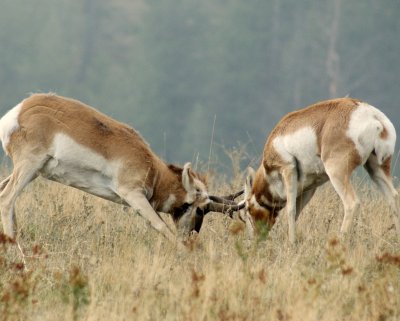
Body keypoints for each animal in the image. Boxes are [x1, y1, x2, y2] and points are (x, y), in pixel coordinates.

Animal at [0, 92, 241, 248]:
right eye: (200, 209)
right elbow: (160, 226)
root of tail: (19, 111)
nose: (191, 239)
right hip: (29, 165)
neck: (154, 170)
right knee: (7, 199)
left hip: (33, 171)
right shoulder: (133, 194)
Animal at [244, 97, 400, 242]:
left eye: (247, 208)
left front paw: (291, 242)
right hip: (376, 168)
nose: (255, 239)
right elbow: (298, 211)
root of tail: (372, 115)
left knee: (352, 203)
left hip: (336, 173)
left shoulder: (288, 170)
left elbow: (291, 209)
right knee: (393, 197)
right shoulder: (310, 187)